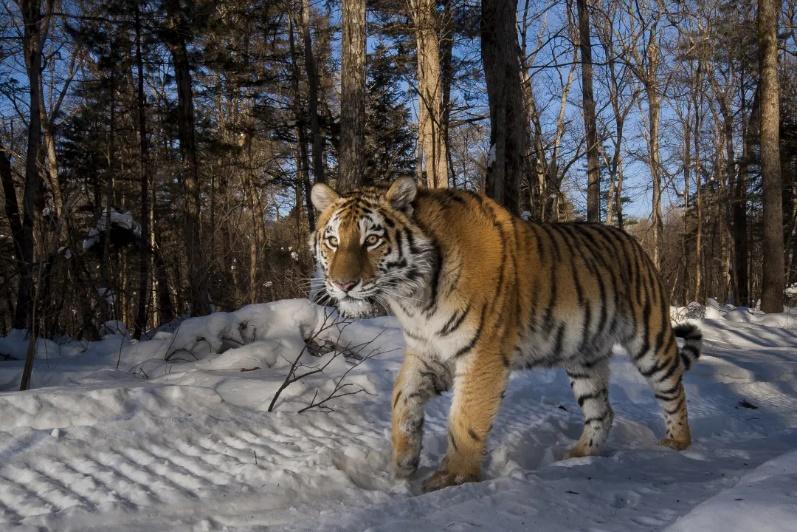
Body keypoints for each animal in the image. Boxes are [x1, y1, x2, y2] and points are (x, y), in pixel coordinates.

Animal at [308, 178, 700, 490]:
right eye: (332, 241)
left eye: (372, 240)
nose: (343, 284)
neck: (412, 297)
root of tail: (635, 242)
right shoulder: (427, 351)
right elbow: (401, 400)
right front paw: (403, 464)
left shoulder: (481, 355)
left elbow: (465, 419)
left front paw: (453, 478)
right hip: (584, 357)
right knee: (602, 411)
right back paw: (577, 454)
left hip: (651, 339)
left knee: (674, 391)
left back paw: (676, 446)